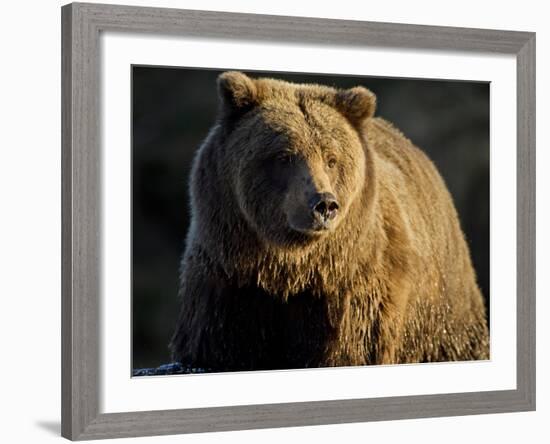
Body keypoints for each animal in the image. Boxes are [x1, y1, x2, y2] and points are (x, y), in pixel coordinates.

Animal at [169, 72, 492, 372]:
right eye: (284, 156)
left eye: (331, 158)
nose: (324, 204)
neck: (290, 267)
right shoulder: (229, 277)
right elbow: (220, 344)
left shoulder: (352, 291)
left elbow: (348, 349)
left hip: (442, 310)